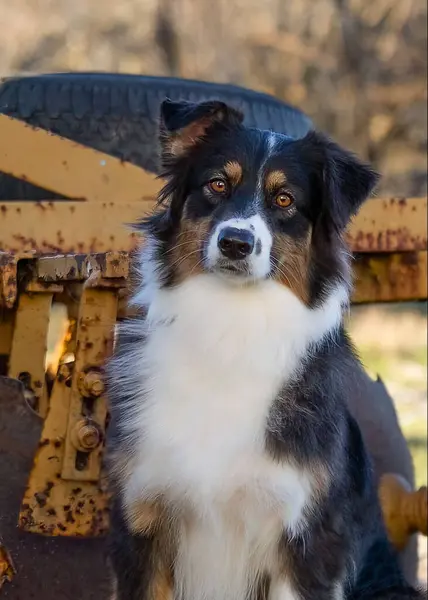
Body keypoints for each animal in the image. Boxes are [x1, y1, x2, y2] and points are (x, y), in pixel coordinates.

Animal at [106, 99, 422, 600]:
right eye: (217, 184)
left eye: (285, 200)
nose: (236, 242)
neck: (230, 328)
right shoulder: (142, 525)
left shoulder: (304, 543)